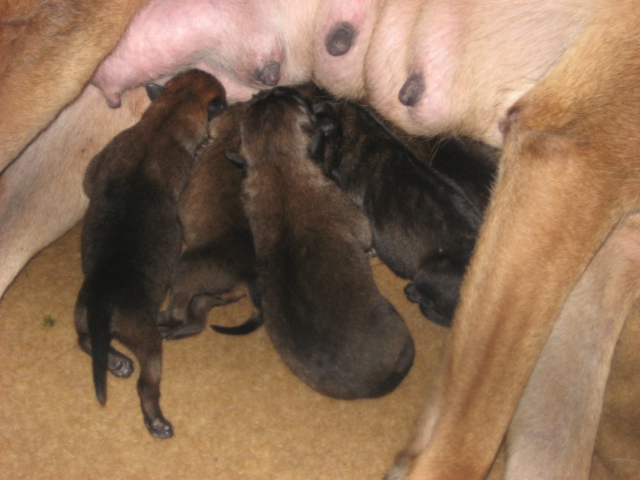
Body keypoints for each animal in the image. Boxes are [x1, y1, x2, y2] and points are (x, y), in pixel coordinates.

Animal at [74, 69, 226, 439]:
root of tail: (103, 300)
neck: (164, 119)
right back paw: (156, 420)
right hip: (147, 338)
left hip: (82, 314)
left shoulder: (98, 164)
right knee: (146, 384)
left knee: (86, 342)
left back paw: (115, 362)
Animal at [229, 86, 415, 399]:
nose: (273, 88)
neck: (277, 164)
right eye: (298, 101)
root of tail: (367, 387)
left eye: (264, 100)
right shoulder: (357, 222)